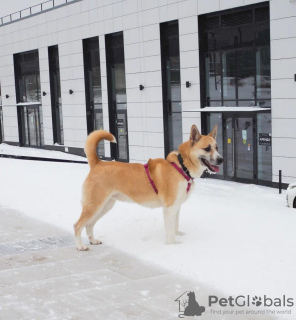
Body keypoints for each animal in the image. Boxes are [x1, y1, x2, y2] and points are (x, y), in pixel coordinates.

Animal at [73, 124, 222, 251]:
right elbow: (170, 232)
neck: (181, 166)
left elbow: (175, 226)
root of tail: (98, 163)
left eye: (217, 147)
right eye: (207, 148)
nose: (221, 159)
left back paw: (93, 240)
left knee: (89, 224)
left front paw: (177, 236)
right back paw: (80, 246)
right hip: (94, 205)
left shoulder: (177, 207)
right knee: (78, 225)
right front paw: (173, 246)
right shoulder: (169, 208)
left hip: (105, 205)